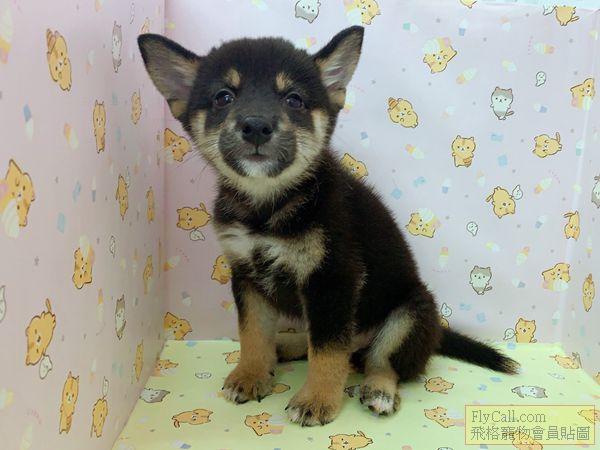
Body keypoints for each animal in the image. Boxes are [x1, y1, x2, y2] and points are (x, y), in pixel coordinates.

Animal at [138, 26, 518, 427]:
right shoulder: (246, 276)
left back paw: (379, 389)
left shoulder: (333, 279)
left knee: (378, 360)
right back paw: (286, 344)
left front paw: (317, 399)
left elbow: (328, 351)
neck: (268, 207)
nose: (256, 126)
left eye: (293, 100)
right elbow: (253, 334)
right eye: (223, 97)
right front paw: (251, 374)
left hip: (412, 312)